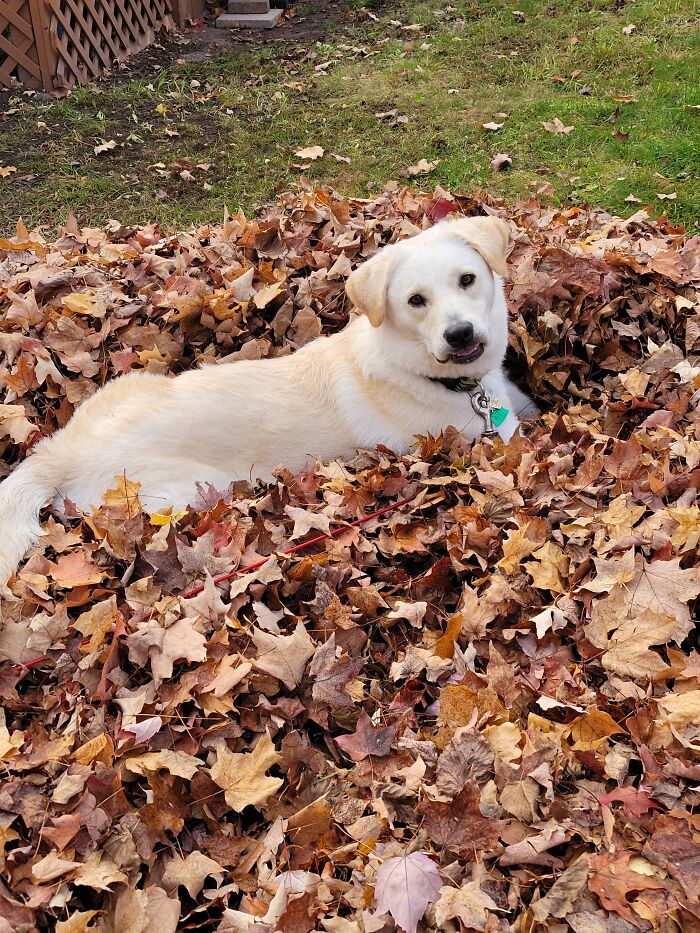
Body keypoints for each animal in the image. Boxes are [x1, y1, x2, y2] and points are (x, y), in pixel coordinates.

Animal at [0, 215, 536, 588]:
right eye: (416, 301)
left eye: (467, 279)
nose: (460, 334)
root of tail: (60, 456)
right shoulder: (492, 437)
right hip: (193, 490)